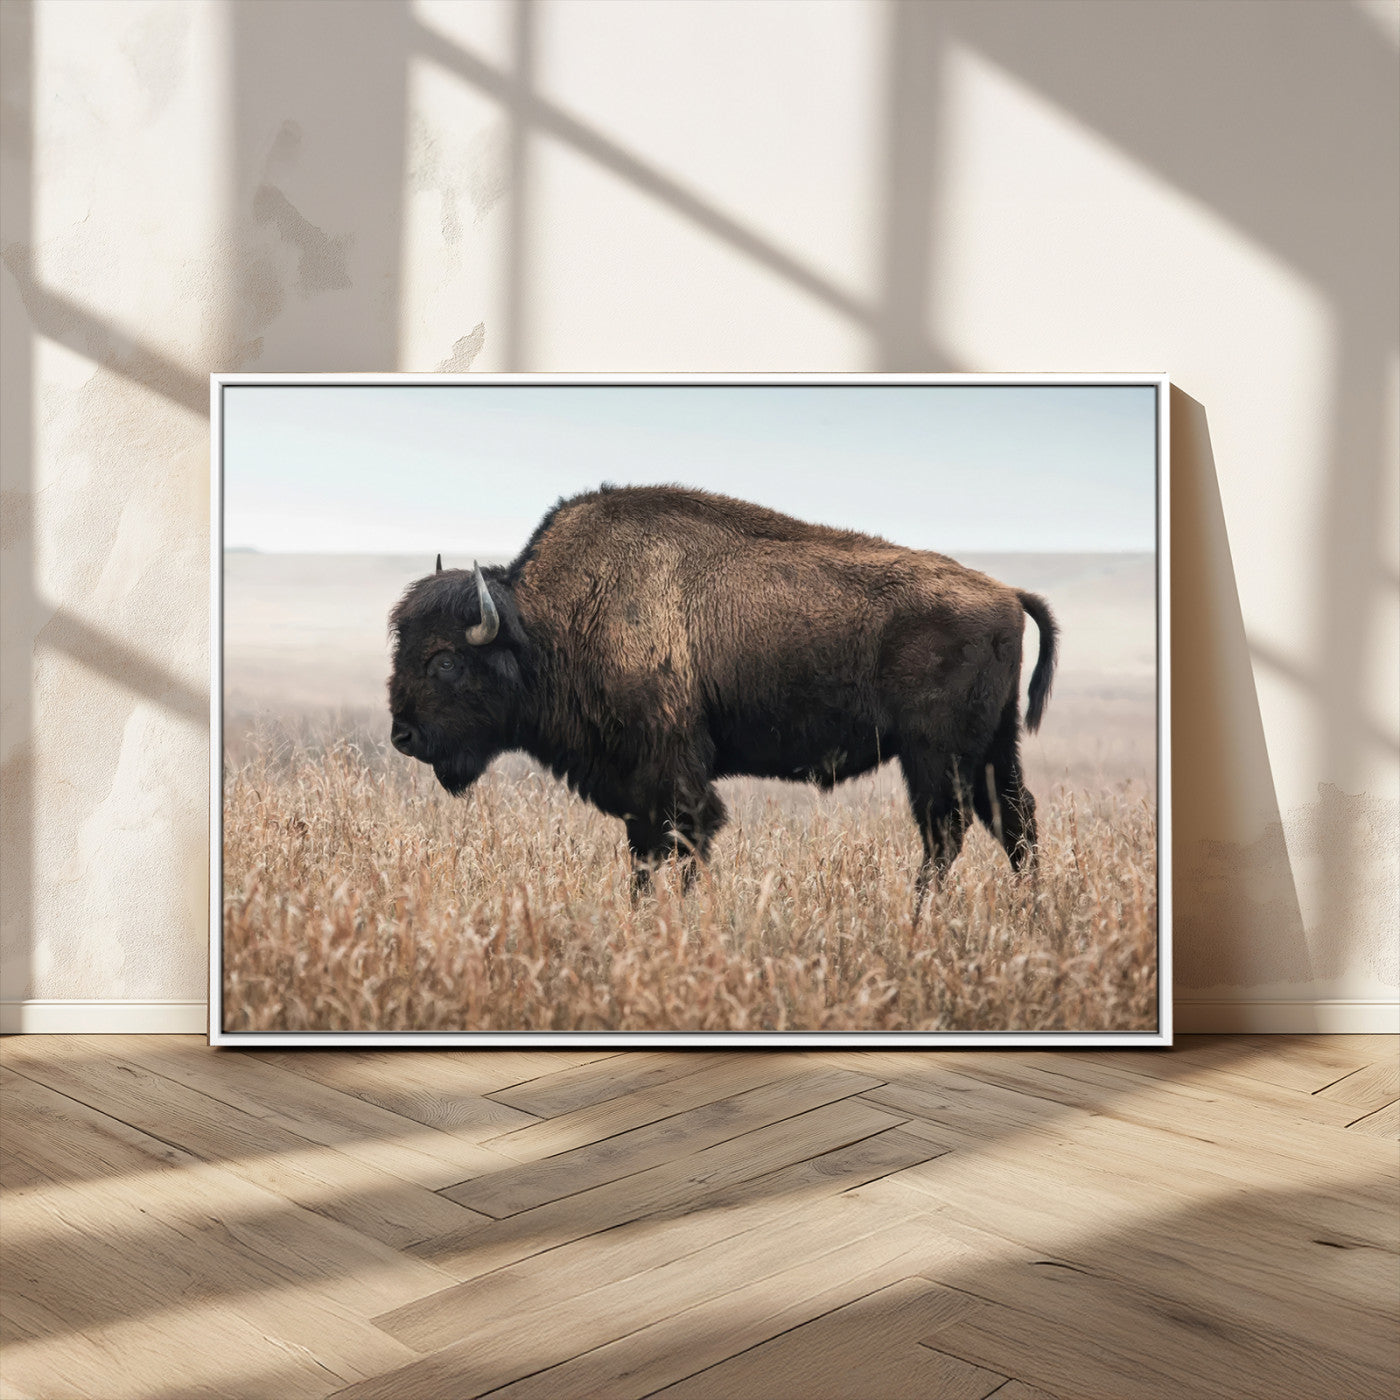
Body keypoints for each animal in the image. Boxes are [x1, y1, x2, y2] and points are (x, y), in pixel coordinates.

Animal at [388, 484, 1057, 906]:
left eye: (445, 660)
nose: (403, 736)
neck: (550, 624)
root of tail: (1006, 593)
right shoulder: (638, 788)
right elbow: (645, 855)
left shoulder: (673, 773)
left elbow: (685, 840)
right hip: (993, 748)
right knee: (1014, 821)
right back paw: (1029, 914)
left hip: (935, 755)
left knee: (946, 831)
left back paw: (919, 917)